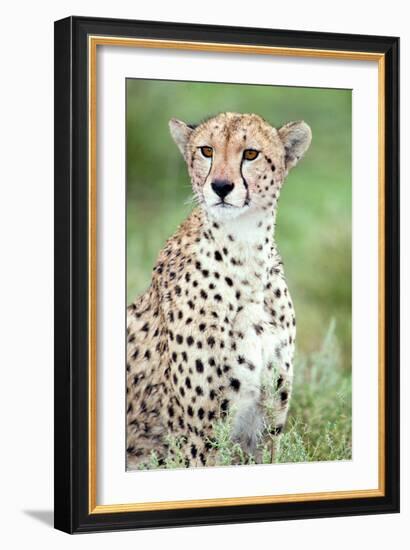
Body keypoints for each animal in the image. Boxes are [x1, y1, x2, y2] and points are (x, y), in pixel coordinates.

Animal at [126, 112, 312, 470]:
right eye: (206, 151)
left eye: (251, 154)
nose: (221, 186)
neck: (244, 253)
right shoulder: (200, 438)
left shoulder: (266, 424)